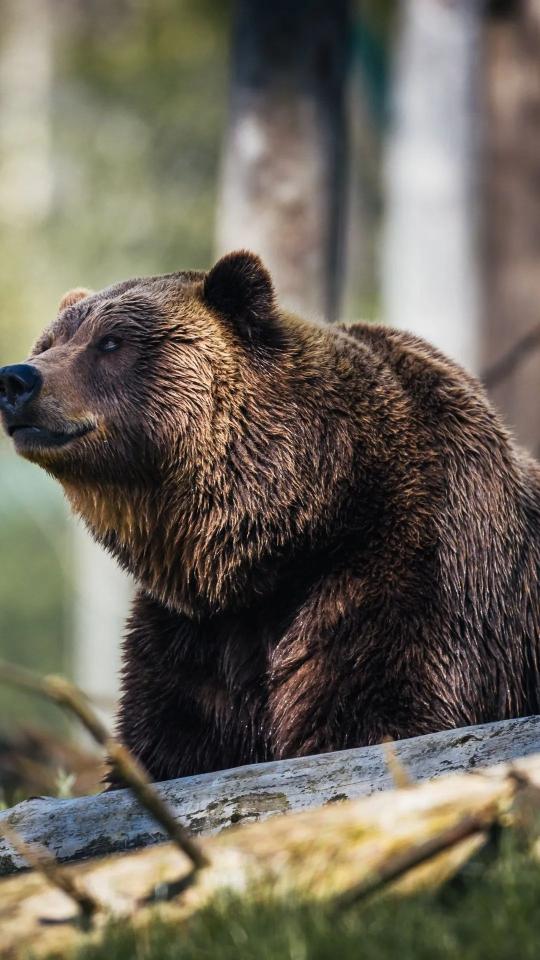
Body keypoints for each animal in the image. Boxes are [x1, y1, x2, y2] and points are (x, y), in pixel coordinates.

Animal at [0, 250, 539, 784]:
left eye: (111, 341)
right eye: (49, 341)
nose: (17, 378)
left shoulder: (410, 574)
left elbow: (381, 714)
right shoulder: (195, 637)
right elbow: (167, 742)